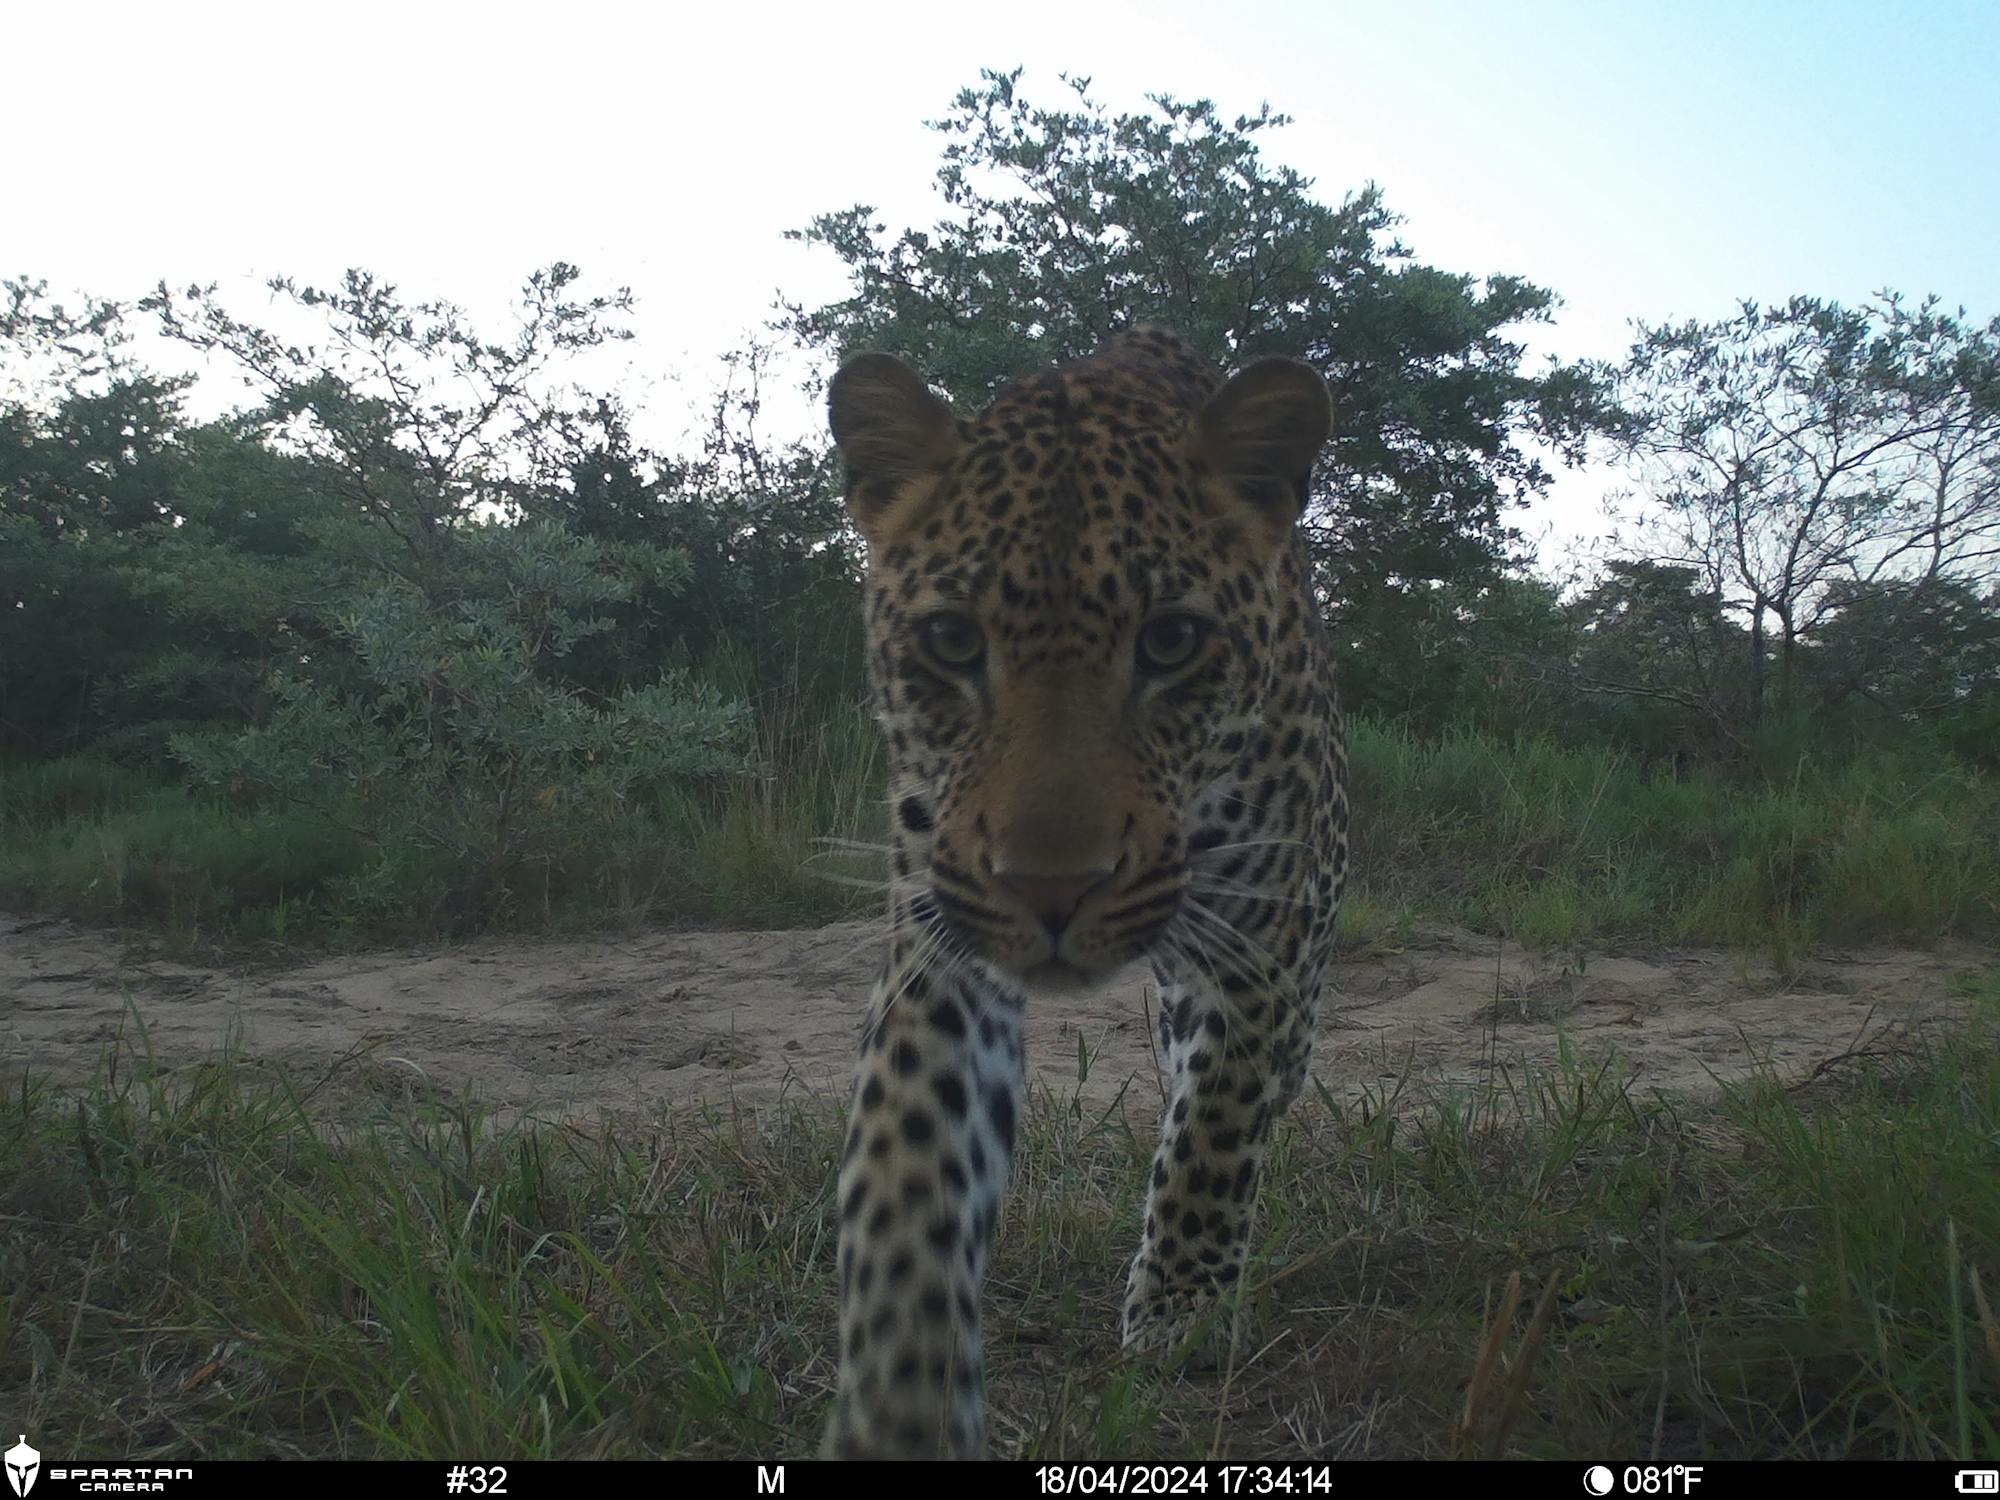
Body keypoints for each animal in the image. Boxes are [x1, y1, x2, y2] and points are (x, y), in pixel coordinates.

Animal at [820, 326, 1352, 1456]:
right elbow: (907, 1171)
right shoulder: (942, 955)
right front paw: (901, 1397)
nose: (1050, 890)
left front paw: (1180, 1309)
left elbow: (1215, 1126)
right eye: (951, 641)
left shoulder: (1261, 946)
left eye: (1171, 642)